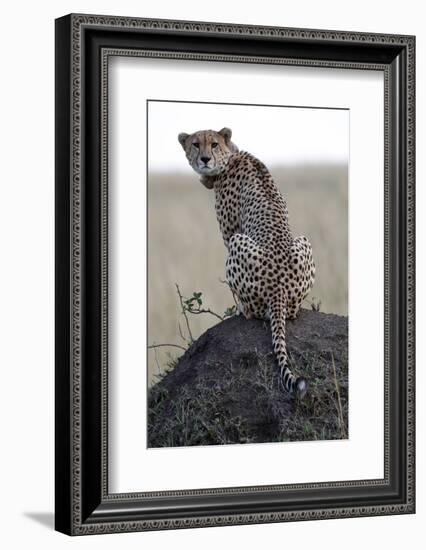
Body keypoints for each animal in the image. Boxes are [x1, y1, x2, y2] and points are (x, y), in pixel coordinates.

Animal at [178, 128, 314, 398]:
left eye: (214, 144)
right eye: (196, 144)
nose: (205, 159)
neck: (230, 156)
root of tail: (279, 290)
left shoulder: (231, 232)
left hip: (238, 243)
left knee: (253, 312)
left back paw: (241, 308)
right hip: (304, 241)